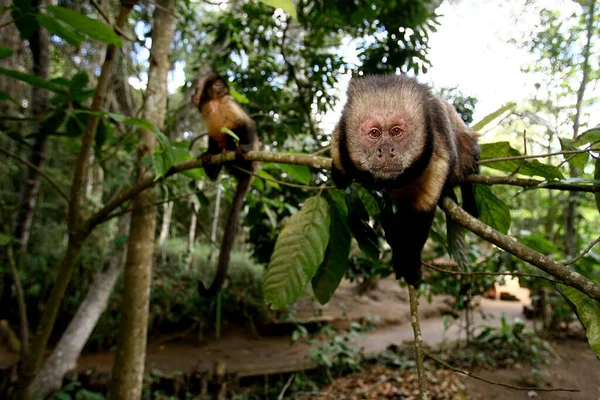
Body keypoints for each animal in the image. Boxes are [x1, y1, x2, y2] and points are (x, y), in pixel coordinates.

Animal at [192, 72, 258, 296]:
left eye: (220, 86)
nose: (219, 88)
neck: (213, 102)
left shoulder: (228, 101)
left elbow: (247, 124)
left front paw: (244, 146)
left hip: (249, 162)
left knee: (236, 131)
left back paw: (235, 151)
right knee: (218, 140)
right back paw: (213, 160)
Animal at [330, 75, 480, 286]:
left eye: (396, 131)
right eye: (374, 133)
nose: (386, 150)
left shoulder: (438, 155)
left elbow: (419, 212)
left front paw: (409, 262)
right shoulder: (340, 138)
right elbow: (339, 166)